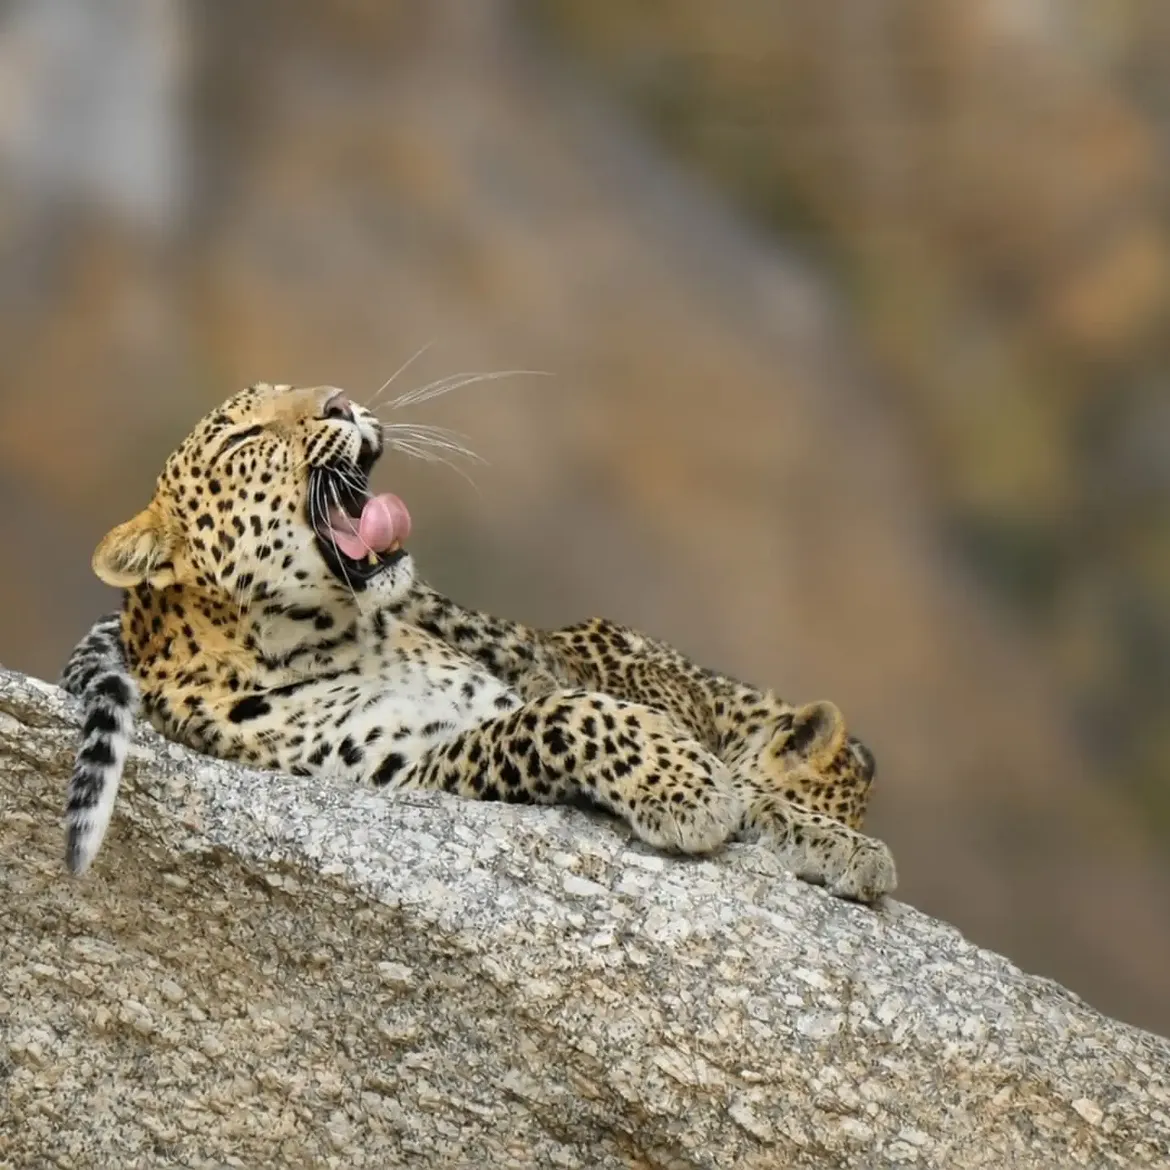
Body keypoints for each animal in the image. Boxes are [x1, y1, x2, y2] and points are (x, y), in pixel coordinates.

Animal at [61, 382, 896, 903]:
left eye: (308, 393)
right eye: (245, 434)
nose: (342, 400)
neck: (334, 633)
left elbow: (749, 787)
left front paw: (840, 846)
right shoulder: (410, 770)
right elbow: (569, 714)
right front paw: (687, 794)